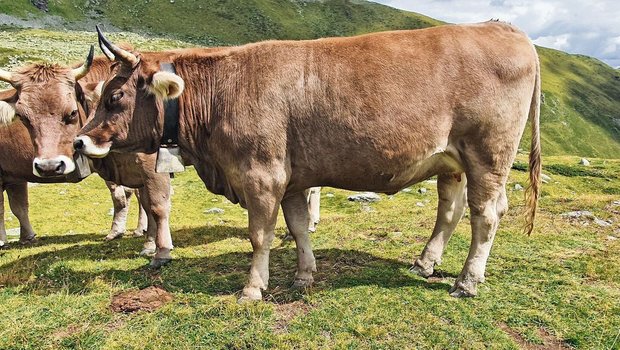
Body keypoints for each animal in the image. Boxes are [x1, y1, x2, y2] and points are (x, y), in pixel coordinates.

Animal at [0, 52, 173, 266]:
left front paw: (154, 247)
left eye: (72, 112)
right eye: (23, 117)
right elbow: (19, 207)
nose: (49, 166)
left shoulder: (150, 168)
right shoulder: (13, 177)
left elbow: (154, 204)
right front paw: (27, 237)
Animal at [78, 21, 544, 300]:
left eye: (115, 96)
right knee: (450, 210)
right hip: (452, 161)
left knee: (486, 215)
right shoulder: (293, 179)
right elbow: (298, 227)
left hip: (488, 154)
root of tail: (504, 28)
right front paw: (304, 276)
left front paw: (253, 289)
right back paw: (425, 263)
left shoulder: (261, 176)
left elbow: (260, 236)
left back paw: (467, 281)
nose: (81, 141)